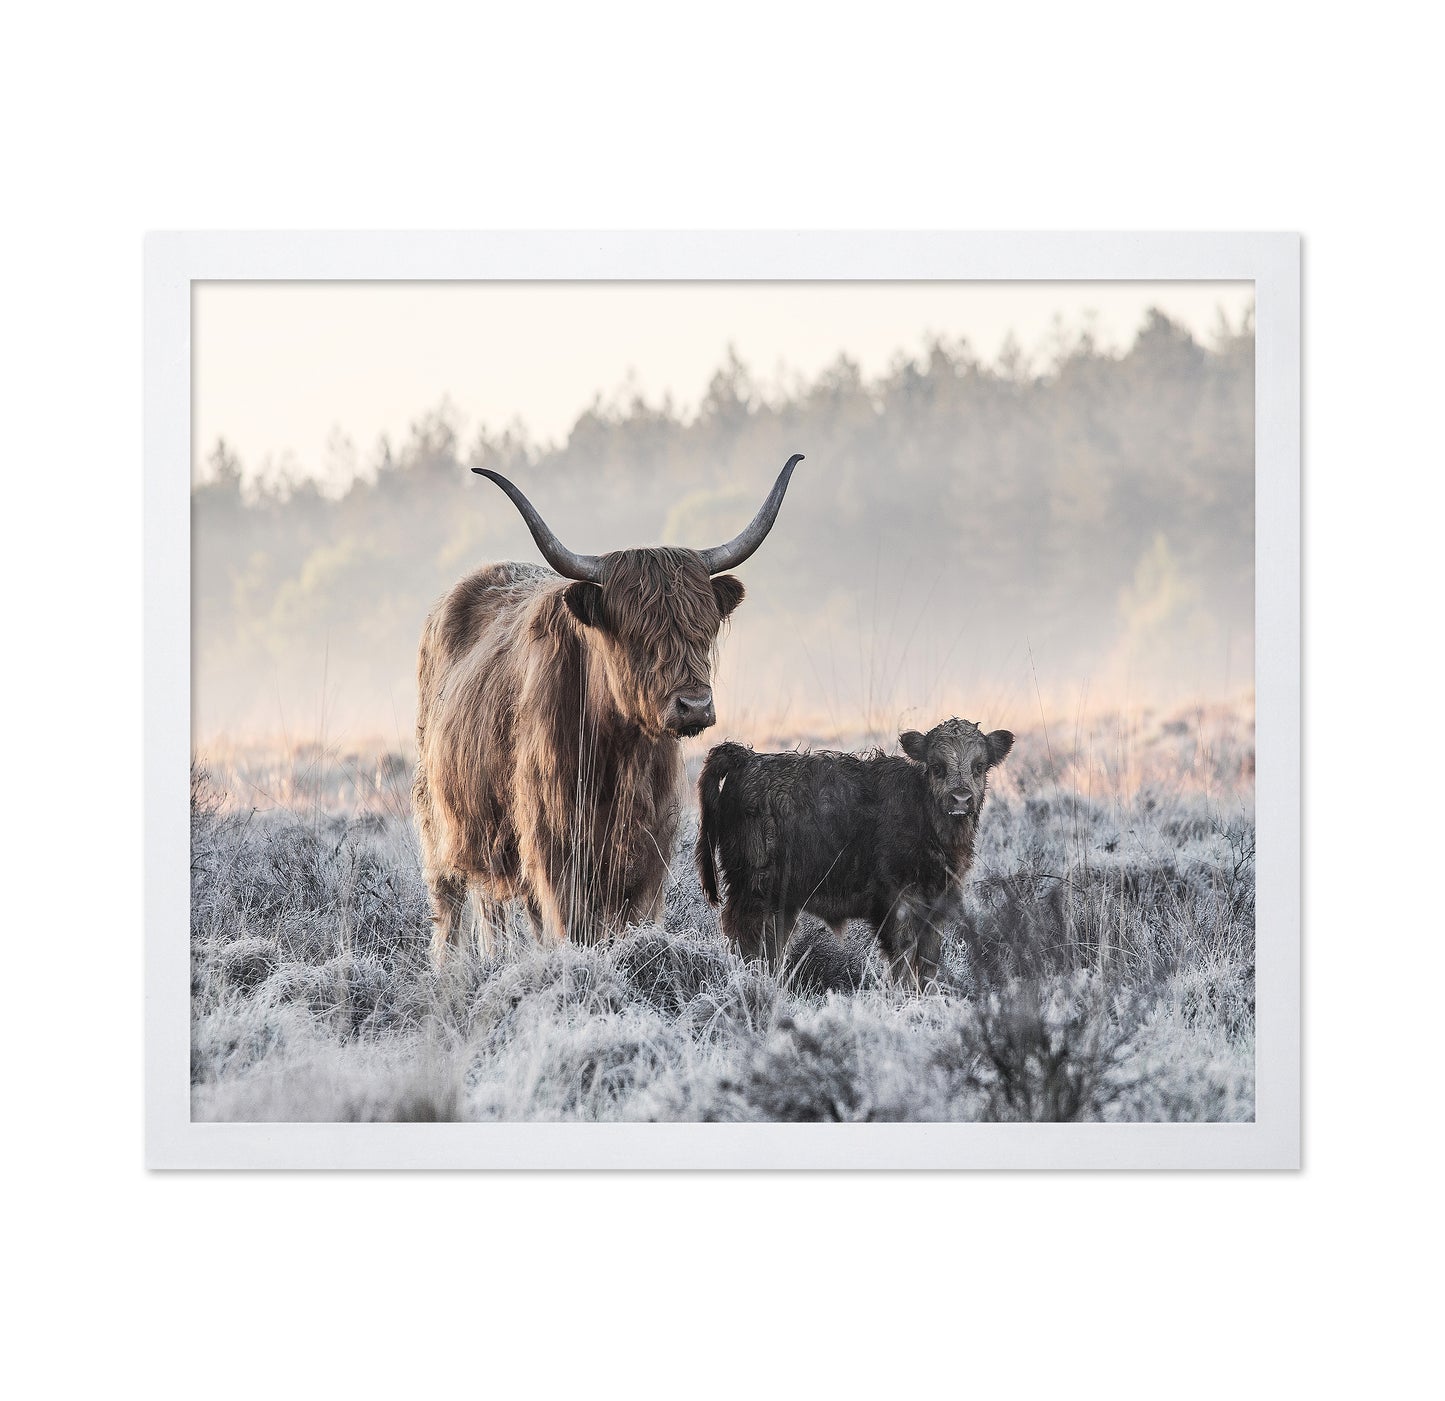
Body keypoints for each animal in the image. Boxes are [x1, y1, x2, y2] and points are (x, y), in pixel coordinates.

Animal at [414, 454, 803, 967]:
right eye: (636, 635)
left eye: (703, 629)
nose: (694, 705)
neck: (621, 753)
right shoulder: (556, 848)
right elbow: (572, 927)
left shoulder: (651, 851)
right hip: (440, 824)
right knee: (451, 907)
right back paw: (449, 972)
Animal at [696, 718, 1013, 989]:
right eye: (936, 766)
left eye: (979, 766)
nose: (961, 798)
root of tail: (747, 759)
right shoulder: (899, 903)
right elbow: (904, 959)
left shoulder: (936, 906)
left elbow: (928, 963)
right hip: (752, 889)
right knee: (745, 939)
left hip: (780, 902)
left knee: (772, 946)